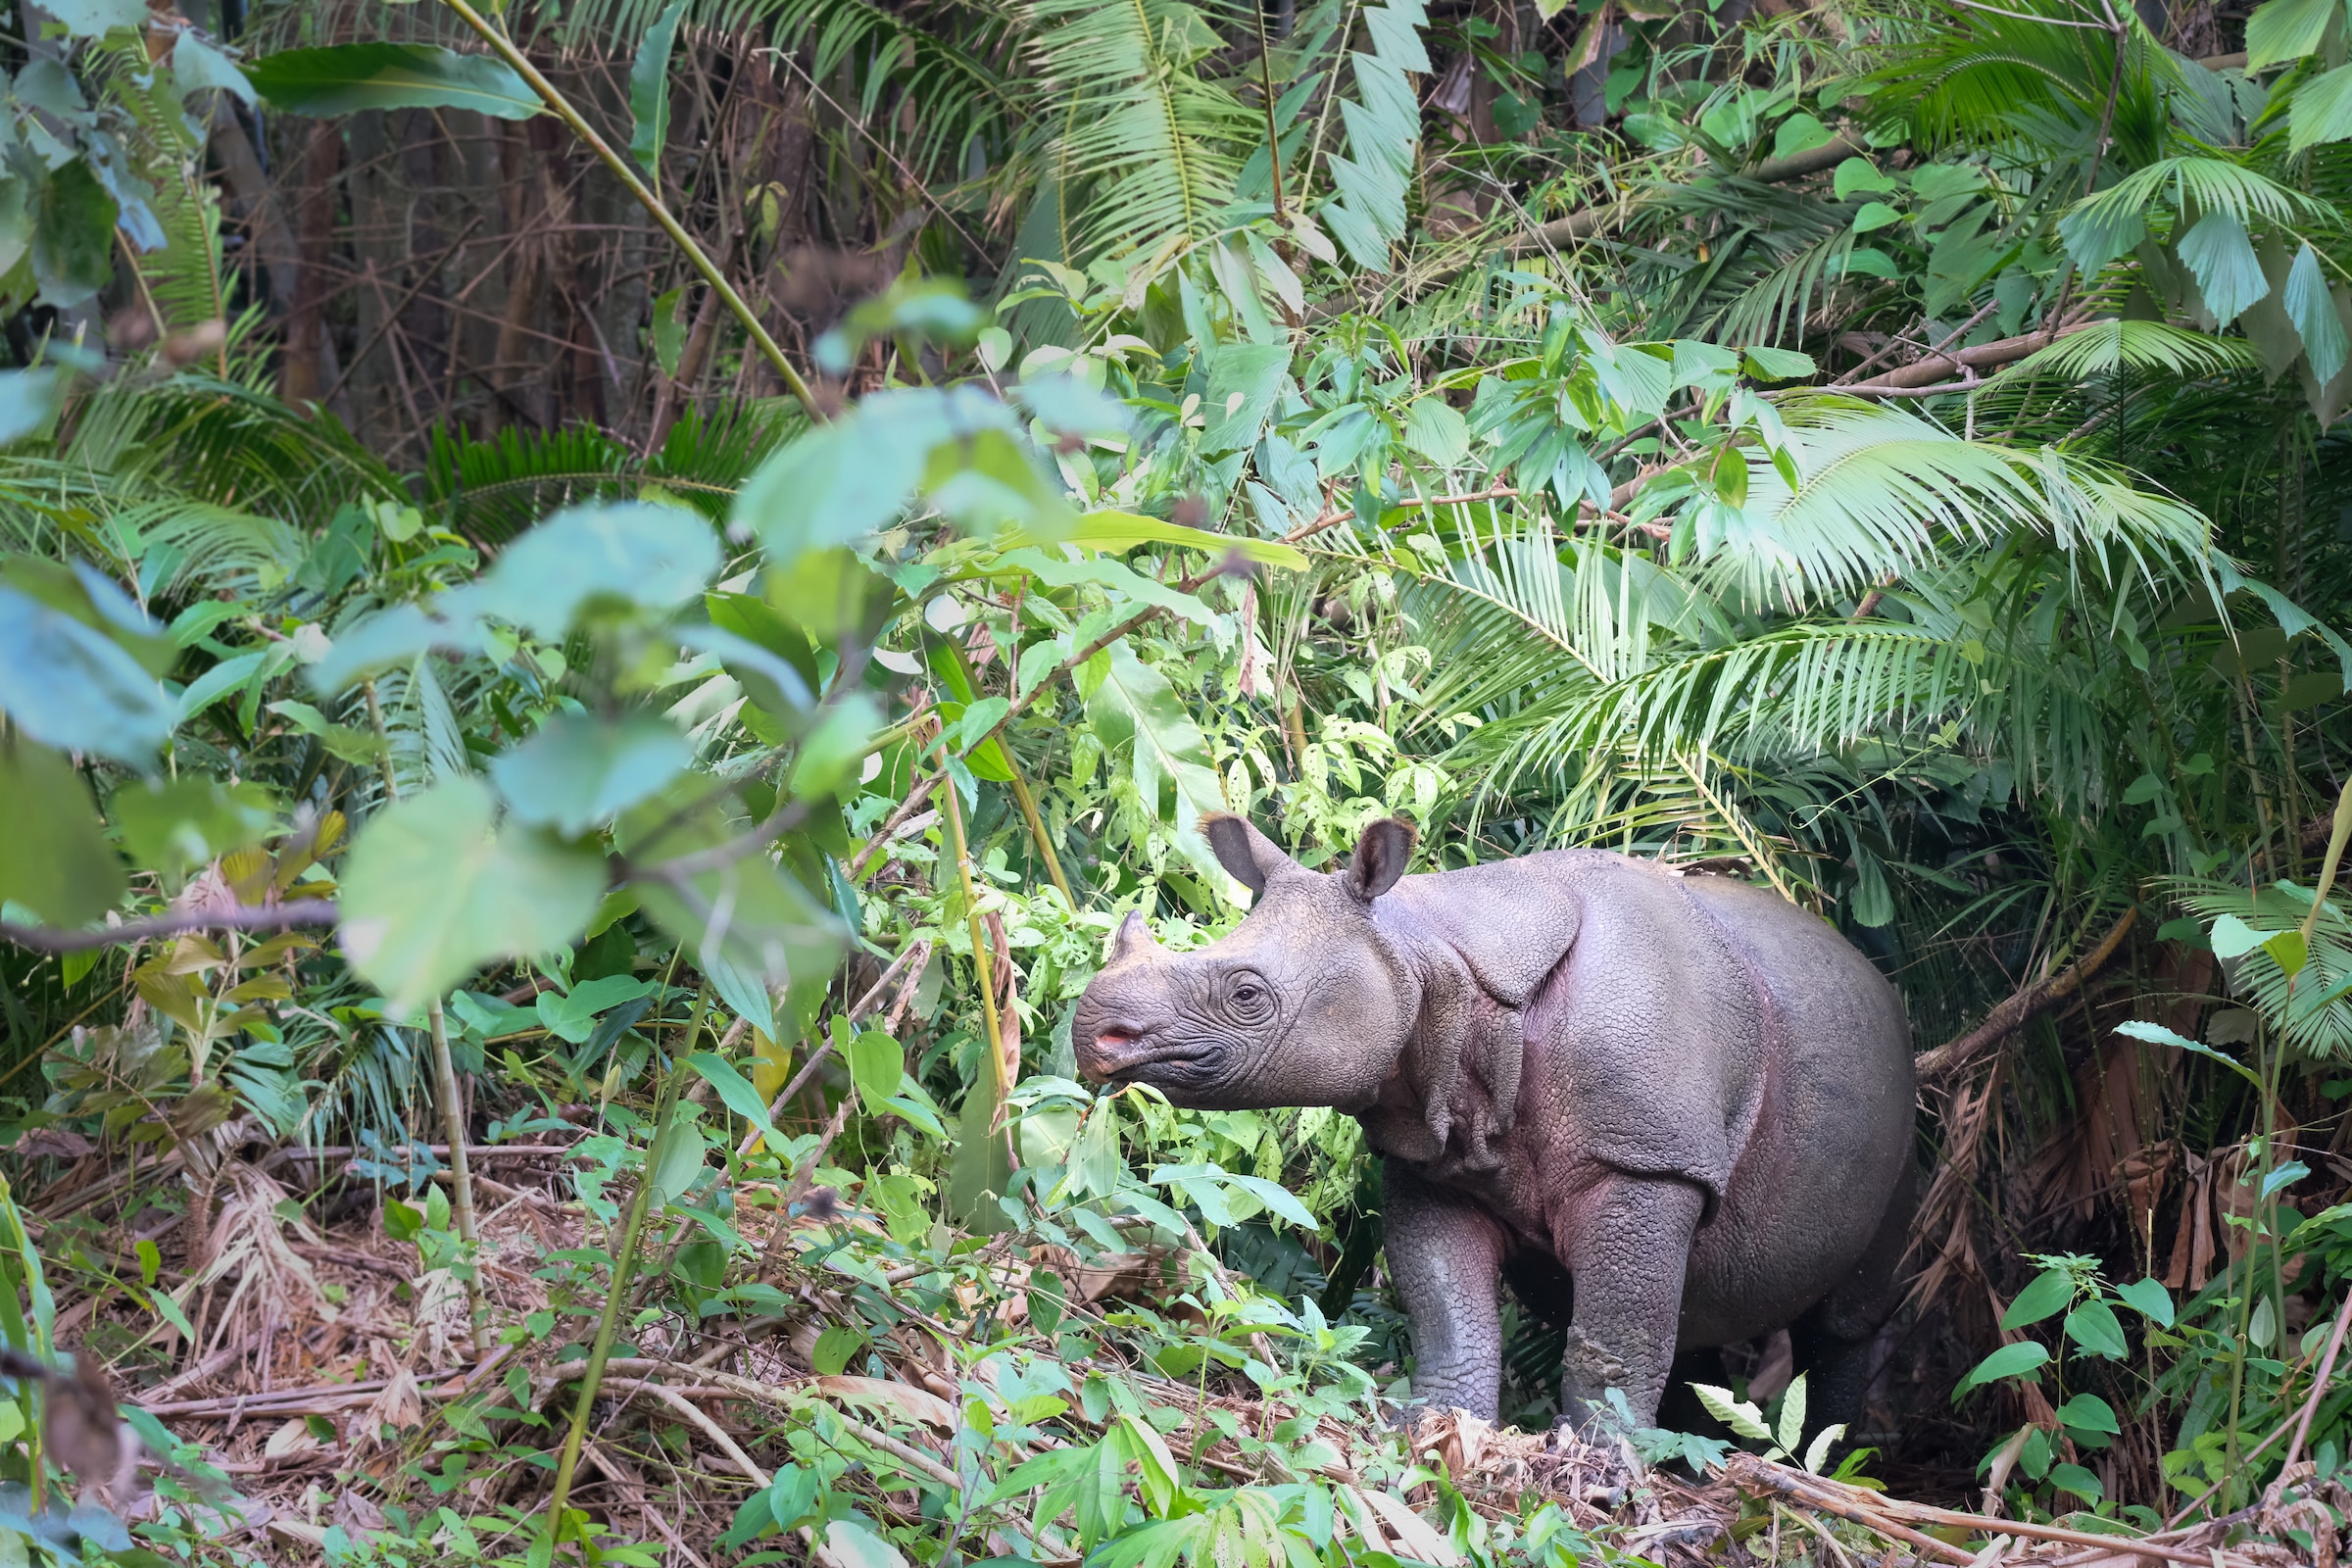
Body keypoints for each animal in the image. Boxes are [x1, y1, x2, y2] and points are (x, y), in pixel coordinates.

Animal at [1073, 813, 1915, 1433]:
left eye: (1247, 996)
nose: (1094, 1035)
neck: (1427, 953)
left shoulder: (1647, 1160)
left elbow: (1616, 1341)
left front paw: (1600, 1475)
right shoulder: (1435, 1153)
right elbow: (1447, 1307)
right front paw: (1439, 1433)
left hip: (1904, 1106)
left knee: (1842, 1322)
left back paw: (1821, 1465)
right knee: (1700, 1316)